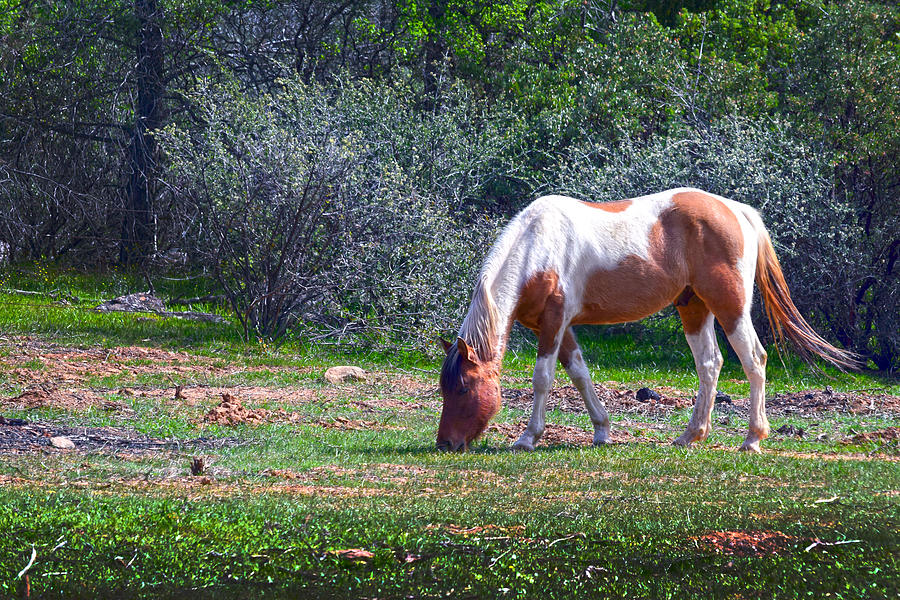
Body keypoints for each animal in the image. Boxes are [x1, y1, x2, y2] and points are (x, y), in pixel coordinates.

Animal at [440, 188, 860, 454]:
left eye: (462, 388)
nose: (445, 443)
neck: (538, 245)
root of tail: (735, 210)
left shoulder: (554, 321)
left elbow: (543, 378)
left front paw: (528, 438)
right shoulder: (561, 326)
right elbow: (580, 373)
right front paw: (602, 431)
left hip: (731, 307)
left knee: (754, 361)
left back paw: (752, 439)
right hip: (694, 308)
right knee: (710, 364)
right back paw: (691, 436)